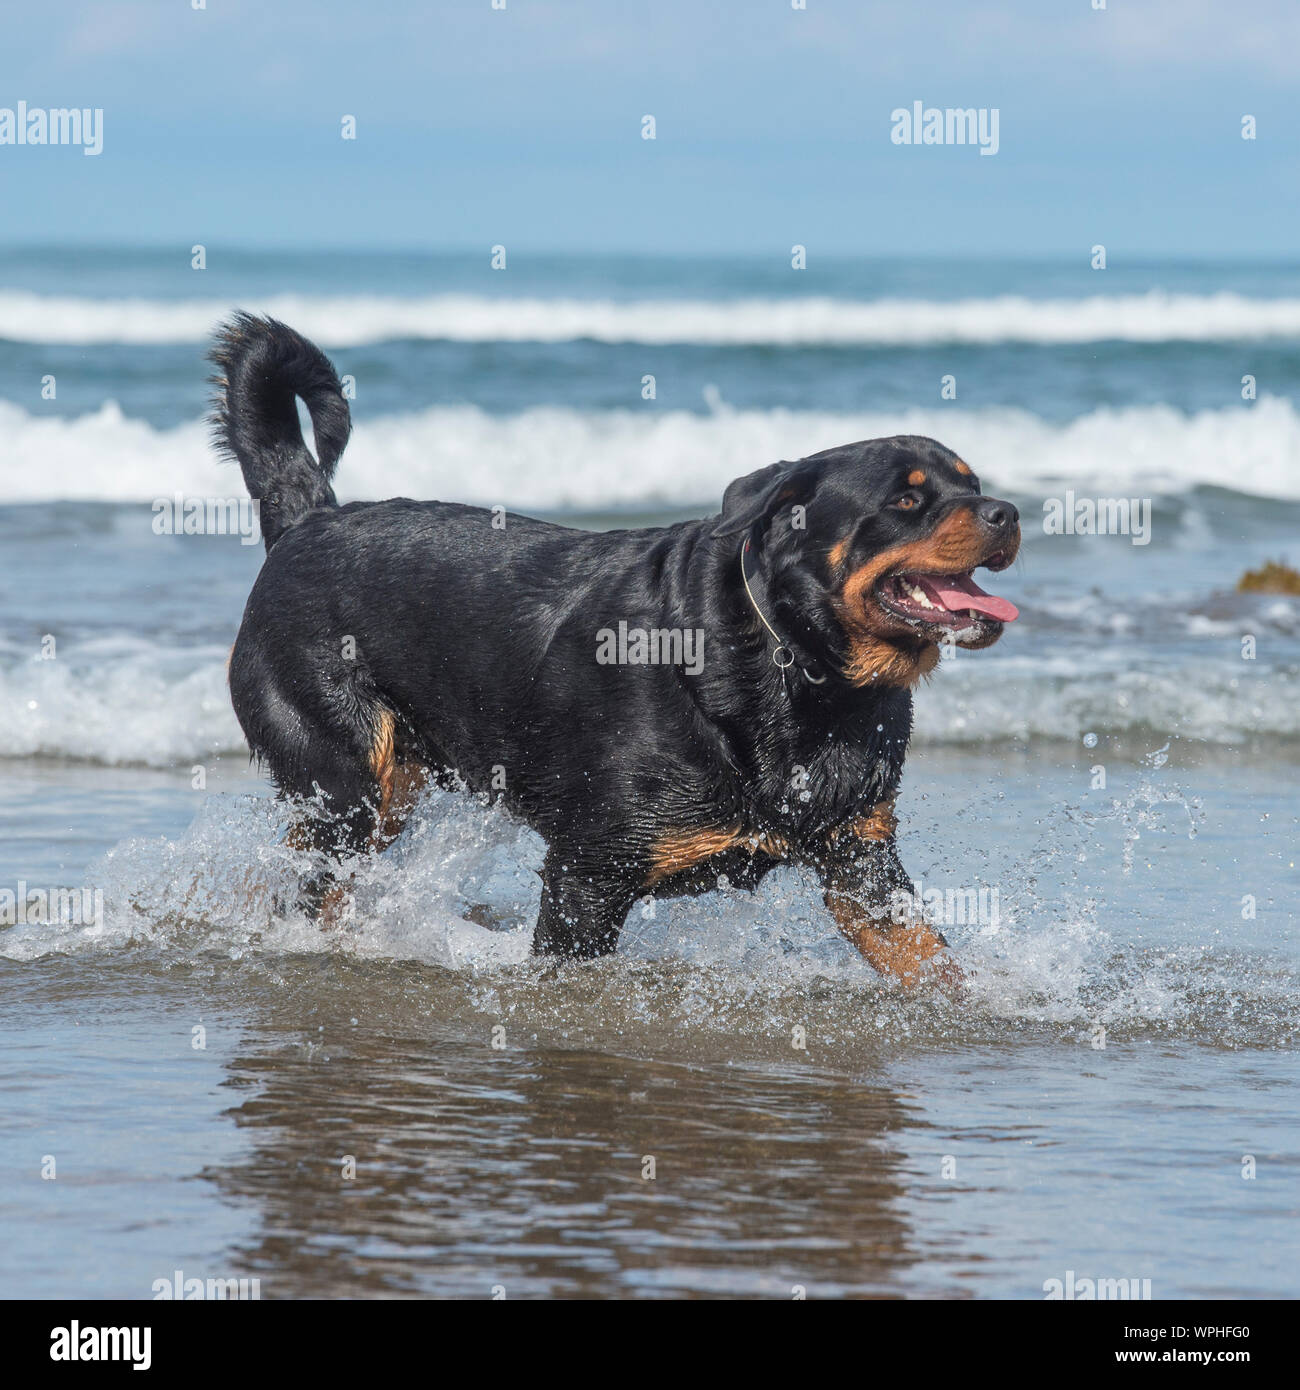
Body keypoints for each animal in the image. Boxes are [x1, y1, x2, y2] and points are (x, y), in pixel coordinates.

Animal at [214, 315, 1023, 989]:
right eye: (906, 501)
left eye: (973, 483)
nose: (1007, 511)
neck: (795, 665)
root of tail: (308, 521)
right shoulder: (590, 872)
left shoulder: (862, 861)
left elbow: (932, 961)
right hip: (343, 778)